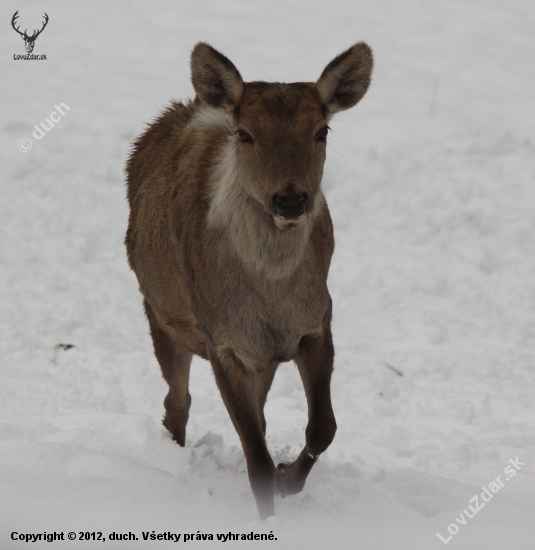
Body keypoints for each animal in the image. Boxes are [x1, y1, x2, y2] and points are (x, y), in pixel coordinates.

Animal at [125, 41, 372, 520]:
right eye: (245, 134)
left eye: (322, 131)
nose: (291, 200)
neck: (271, 293)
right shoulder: (222, 339)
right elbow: (254, 455)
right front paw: (269, 510)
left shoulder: (316, 320)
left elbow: (322, 427)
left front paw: (287, 477)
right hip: (160, 315)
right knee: (176, 403)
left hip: (260, 355)